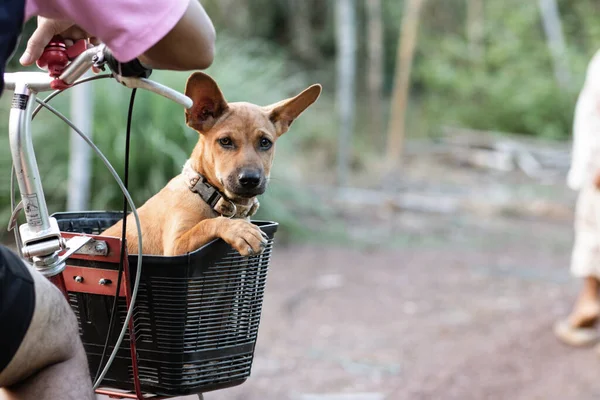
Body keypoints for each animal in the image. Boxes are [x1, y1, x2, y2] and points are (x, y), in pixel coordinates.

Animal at [101, 72, 322, 256]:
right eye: (225, 141)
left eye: (265, 142)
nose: (250, 180)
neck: (209, 196)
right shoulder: (175, 247)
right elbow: (207, 224)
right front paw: (238, 231)